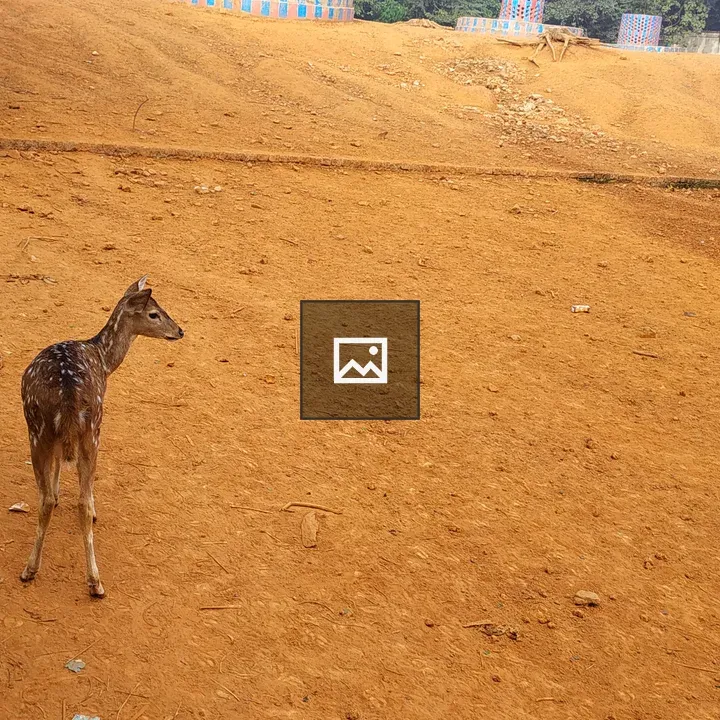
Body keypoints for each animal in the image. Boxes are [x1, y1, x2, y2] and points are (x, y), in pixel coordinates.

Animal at [19, 276, 183, 598]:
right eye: (154, 314)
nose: (180, 331)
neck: (104, 359)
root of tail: (68, 396)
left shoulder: (59, 439)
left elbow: (57, 470)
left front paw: (58, 491)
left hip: (41, 429)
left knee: (46, 499)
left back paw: (35, 569)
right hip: (90, 427)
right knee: (78, 502)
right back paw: (93, 581)